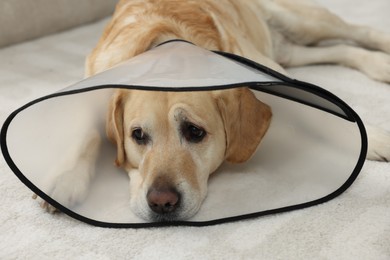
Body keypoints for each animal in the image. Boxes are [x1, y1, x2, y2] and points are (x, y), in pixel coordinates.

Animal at [36, 0, 390, 221]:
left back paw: (382, 52)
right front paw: (65, 179)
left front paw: (372, 138)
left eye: (194, 132)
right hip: (289, 49)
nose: (162, 203)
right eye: (137, 135)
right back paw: (379, 64)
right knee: (339, 50)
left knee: (357, 32)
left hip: (303, 22)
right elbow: (88, 132)